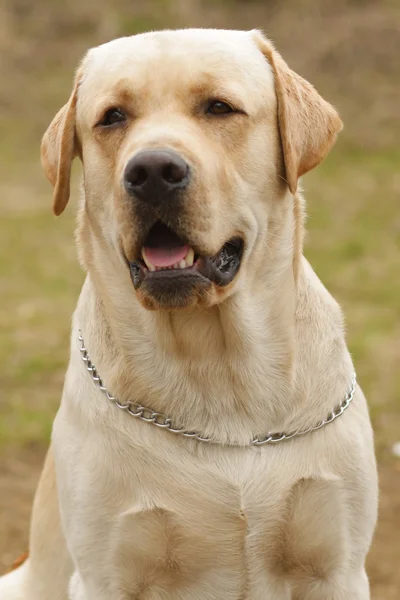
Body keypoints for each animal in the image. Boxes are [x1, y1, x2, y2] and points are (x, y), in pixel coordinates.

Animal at [0, 29, 378, 600]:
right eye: (112, 117)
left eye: (219, 107)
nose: (152, 171)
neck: (219, 374)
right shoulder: (105, 574)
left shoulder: (338, 566)